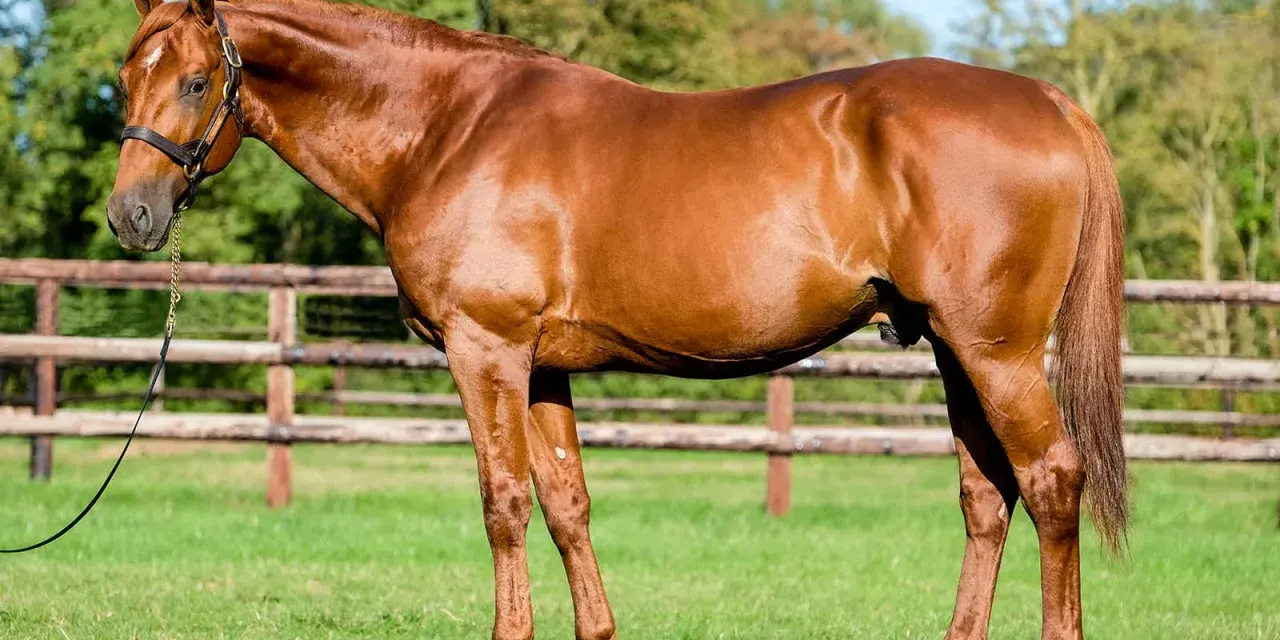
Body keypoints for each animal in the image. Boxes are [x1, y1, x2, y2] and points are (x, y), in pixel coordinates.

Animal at [109, 1, 1128, 638]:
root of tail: (1051, 102)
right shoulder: (542, 366)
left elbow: (505, 503)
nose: (131, 218)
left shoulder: (487, 352)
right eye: (126, 77)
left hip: (996, 354)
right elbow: (568, 506)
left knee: (1051, 480)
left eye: (195, 83)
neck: (447, 128)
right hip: (957, 355)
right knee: (987, 499)